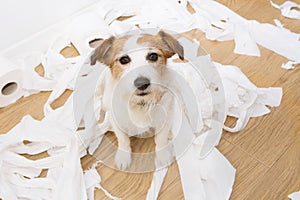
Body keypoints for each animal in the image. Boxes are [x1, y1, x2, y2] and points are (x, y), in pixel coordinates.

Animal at [89, 30, 183, 170]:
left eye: (153, 56)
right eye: (124, 59)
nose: (142, 84)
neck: (140, 104)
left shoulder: (165, 118)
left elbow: (160, 139)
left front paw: (163, 155)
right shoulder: (116, 120)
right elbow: (123, 139)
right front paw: (123, 156)